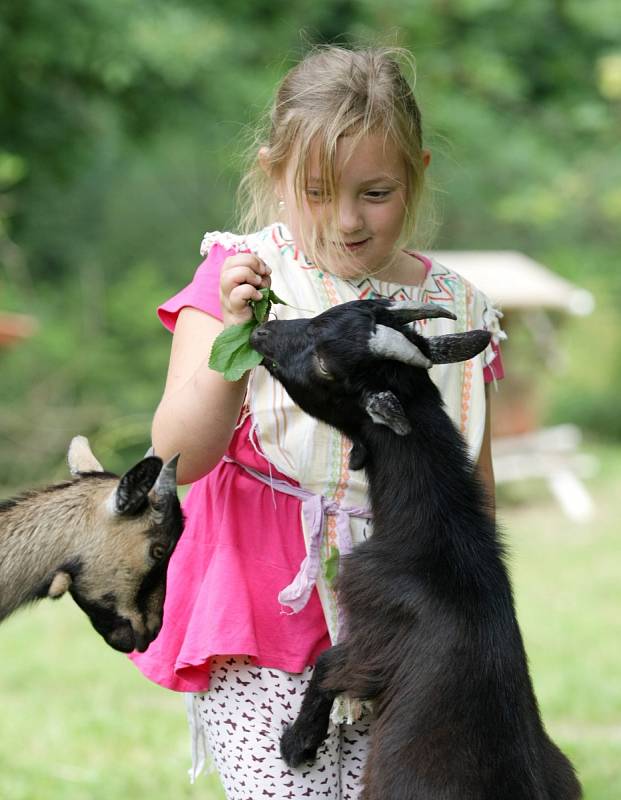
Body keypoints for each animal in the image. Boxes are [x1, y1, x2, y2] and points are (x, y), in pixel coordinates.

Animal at [249, 302, 580, 800]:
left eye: (326, 365)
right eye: (328, 314)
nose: (262, 333)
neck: (437, 532)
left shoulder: (373, 631)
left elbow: (329, 664)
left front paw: (298, 743)